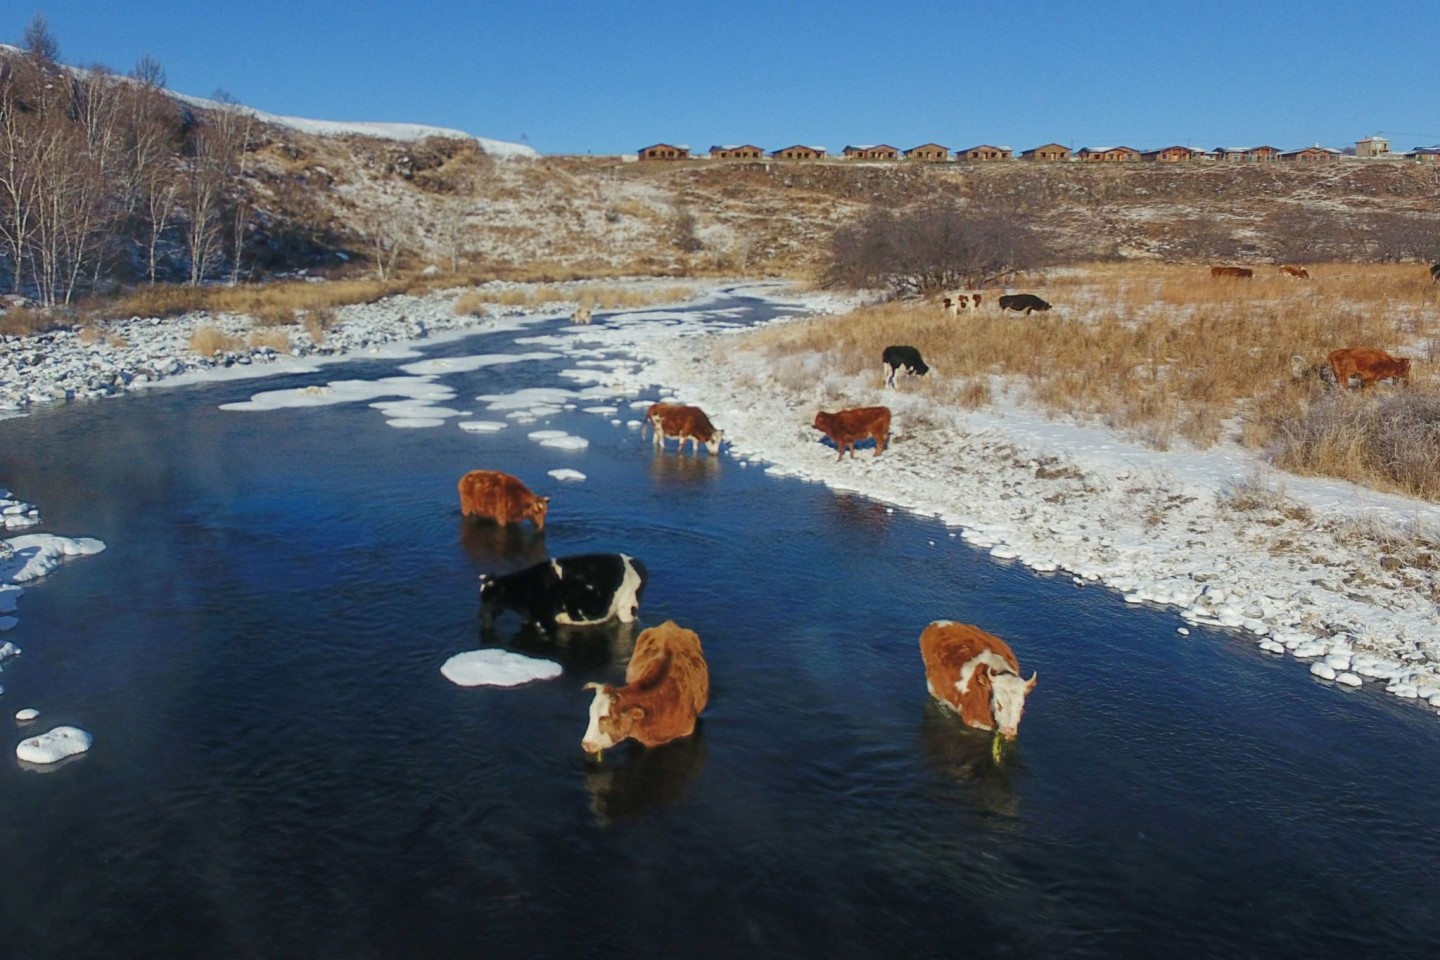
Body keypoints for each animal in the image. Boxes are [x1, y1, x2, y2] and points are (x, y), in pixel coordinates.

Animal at [478, 552, 648, 633]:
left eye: (491, 598)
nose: (481, 619)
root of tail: (635, 561)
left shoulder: (544, 620)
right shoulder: (530, 618)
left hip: (627, 608)